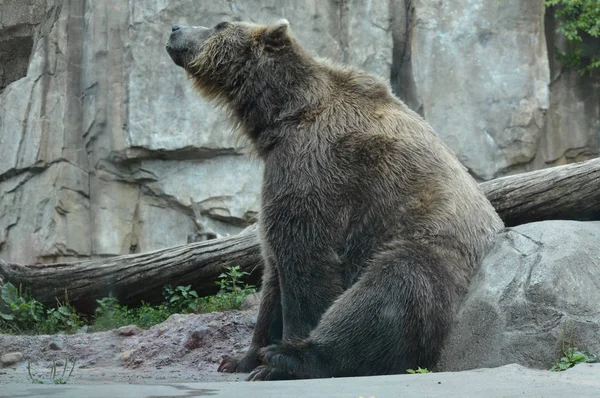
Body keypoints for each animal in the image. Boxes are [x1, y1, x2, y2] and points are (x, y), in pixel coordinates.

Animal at [166, 18, 504, 380]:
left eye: (220, 24)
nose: (175, 28)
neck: (281, 115)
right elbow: (272, 271)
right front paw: (239, 358)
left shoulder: (318, 165)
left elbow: (305, 259)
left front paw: (275, 357)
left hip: (436, 252)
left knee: (391, 288)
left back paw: (294, 359)